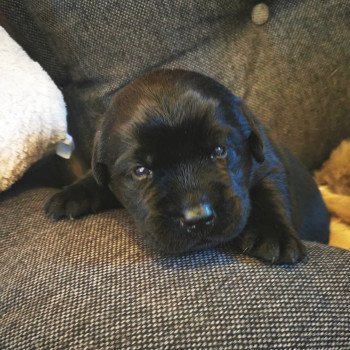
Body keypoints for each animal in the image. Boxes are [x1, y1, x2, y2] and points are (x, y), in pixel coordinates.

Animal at [45, 69, 330, 264]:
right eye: (140, 171)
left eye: (219, 151)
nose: (198, 218)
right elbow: (97, 178)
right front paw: (69, 195)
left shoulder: (268, 162)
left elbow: (270, 192)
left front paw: (274, 236)